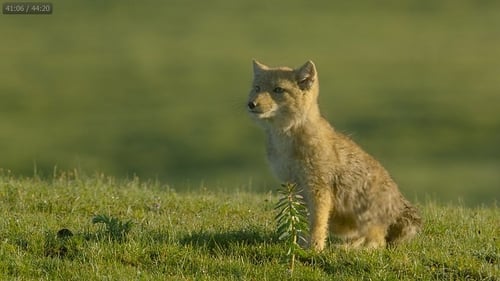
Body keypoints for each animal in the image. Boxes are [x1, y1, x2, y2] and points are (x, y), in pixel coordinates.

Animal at [247, 59, 422, 249]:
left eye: (278, 89)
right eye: (257, 88)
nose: (251, 104)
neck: (285, 141)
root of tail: (399, 203)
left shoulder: (318, 188)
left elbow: (316, 223)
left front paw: (314, 249)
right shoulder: (296, 186)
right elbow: (300, 222)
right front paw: (300, 245)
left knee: (378, 242)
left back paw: (351, 248)